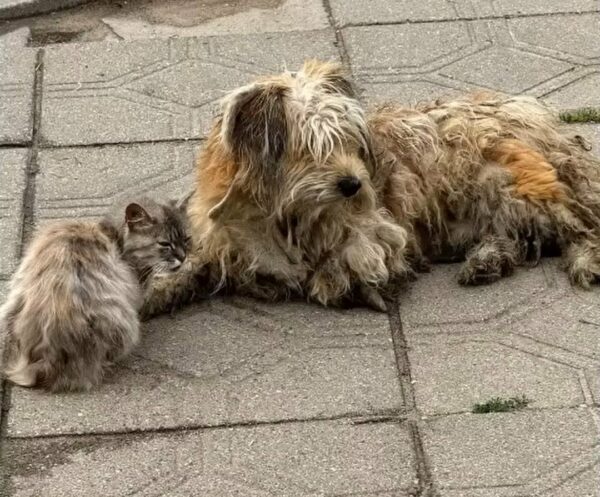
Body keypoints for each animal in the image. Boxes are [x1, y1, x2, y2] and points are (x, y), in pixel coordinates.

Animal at [144, 59, 600, 314]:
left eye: (348, 142)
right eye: (312, 149)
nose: (352, 184)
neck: (278, 213)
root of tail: (546, 124)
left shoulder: (376, 229)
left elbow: (347, 262)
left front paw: (342, 285)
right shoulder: (223, 241)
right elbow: (196, 263)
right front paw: (159, 292)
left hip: (516, 181)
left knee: (581, 228)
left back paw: (585, 261)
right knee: (515, 236)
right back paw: (485, 260)